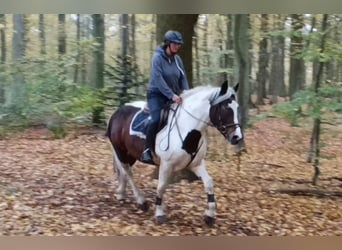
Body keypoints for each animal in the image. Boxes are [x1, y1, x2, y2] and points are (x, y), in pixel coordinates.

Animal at [105, 80, 242, 225]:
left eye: (237, 107)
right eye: (225, 108)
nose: (236, 137)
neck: (187, 128)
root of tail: (117, 112)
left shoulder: (197, 164)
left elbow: (209, 183)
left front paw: (210, 215)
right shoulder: (166, 165)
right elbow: (161, 186)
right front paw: (160, 213)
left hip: (130, 154)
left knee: (124, 170)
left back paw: (121, 194)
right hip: (120, 150)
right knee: (128, 172)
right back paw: (141, 201)